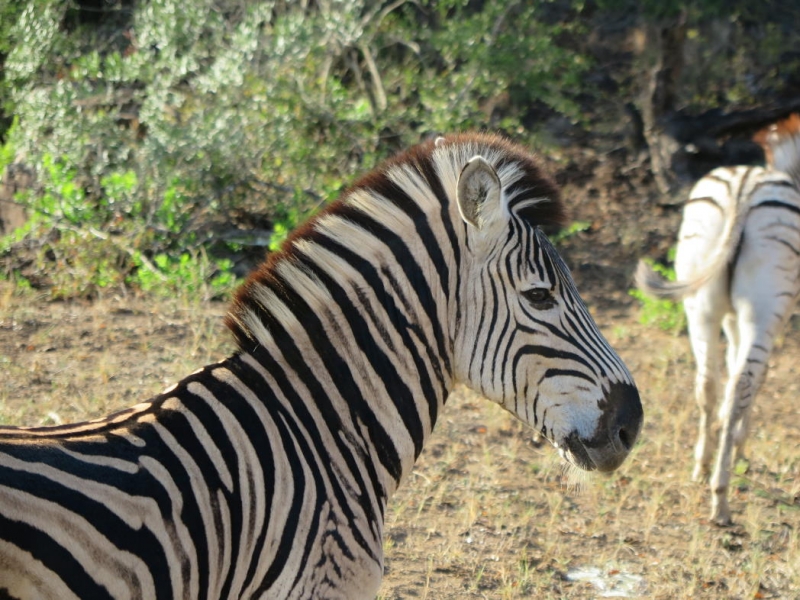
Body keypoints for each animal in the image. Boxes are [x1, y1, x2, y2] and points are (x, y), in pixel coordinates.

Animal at [636, 113, 800, 524]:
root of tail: (743, 190)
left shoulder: (730, 316)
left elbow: (728, 364)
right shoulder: (780, 316)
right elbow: (757, 377)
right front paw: (741, 444)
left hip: (702, 303)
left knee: (707, 381)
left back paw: (701, 465)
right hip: (765, 306)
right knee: (741, 383)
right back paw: (721, 494)